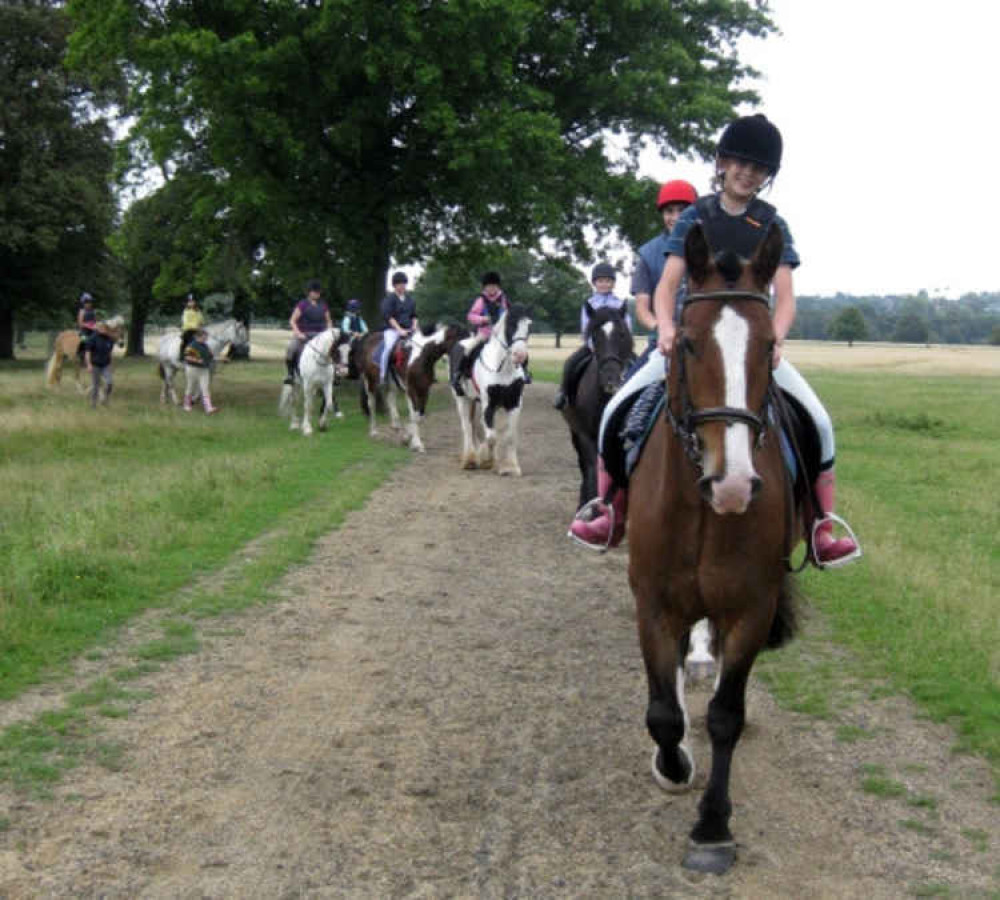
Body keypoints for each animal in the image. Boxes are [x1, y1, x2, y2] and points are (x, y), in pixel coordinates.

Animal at [354, 322, 466, 454]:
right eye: (459, 340)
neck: (421, 355)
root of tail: (368, 339)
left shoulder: (424, 389)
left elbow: (420, 416)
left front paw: (408, 438)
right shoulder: (412, 390)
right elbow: (414, 416)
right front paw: (417, 444)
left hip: (391, 385)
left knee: (391, 402)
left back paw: (397, 429)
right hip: (370, 381)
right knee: (371, 404)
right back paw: (374, 432)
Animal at [452, 304, 532, 478]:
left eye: (529, 327)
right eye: (510, 325)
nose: (520, 355)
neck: (503, 368)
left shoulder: (514, 403)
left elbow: (509, 436)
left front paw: (511, 467)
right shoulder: (488, 404)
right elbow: (491, 437)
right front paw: (488, 461)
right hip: (462, 399)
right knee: (467, 427)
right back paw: (470, 460)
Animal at [628, 221, 800, 876]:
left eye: (769, 345)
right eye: (689, 343)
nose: (733, 485)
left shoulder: (750, 609)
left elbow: (726, 716)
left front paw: (712, 828)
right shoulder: (653, 604)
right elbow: (662, 712)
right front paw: (673, 765)